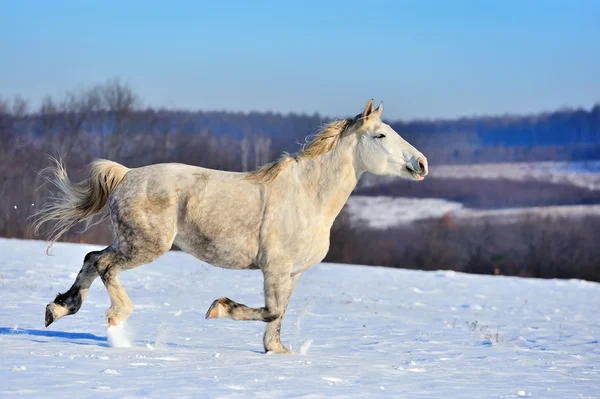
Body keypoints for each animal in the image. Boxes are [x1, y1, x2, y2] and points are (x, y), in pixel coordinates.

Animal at [34, 99, 426, 354]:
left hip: (130, 241)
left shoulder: (292, 273)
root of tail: (126, 174)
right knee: (104, 264)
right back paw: (117, 324)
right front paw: (218, 308)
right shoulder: (274, 269)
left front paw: (276, 350)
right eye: (380, 136)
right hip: (146, 245)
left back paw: (58, 309)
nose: (421, 164)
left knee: (91, 258)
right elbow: (272, 310)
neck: (308, 196)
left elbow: (279, 314)